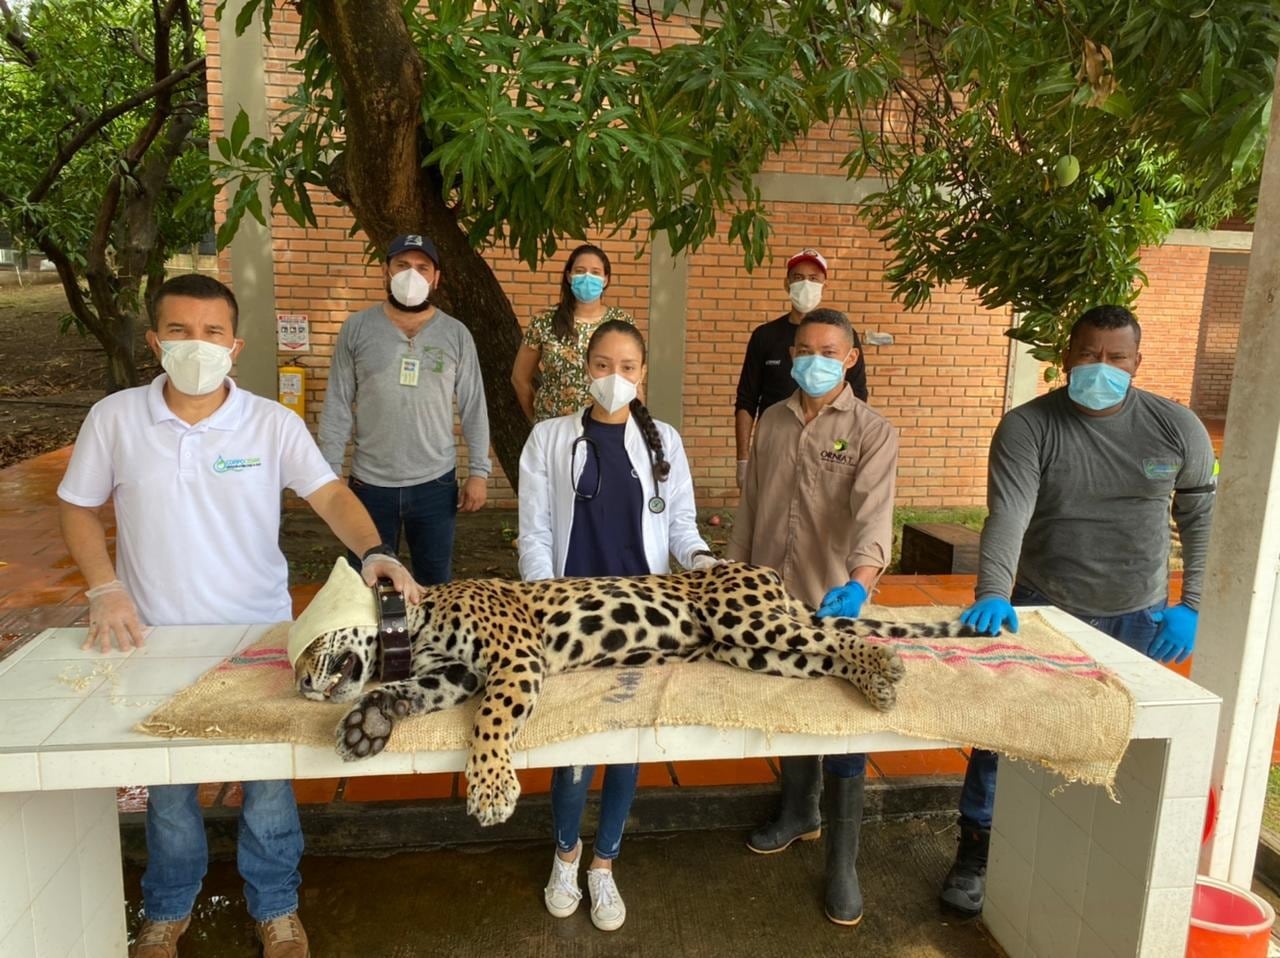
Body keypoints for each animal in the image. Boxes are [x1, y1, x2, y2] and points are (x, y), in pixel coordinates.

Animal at [292, 561, 978, 826]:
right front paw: (365, 725)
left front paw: (489, 790)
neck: (409, 627)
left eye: (308, 644)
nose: (299, 681)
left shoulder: (512, 661)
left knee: (833, 635)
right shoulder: (454, 674)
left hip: (744, 618)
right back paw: (875, 678)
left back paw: (883, 665)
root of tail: (766, 574)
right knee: (823, 651)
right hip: (755, 651)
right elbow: (407, 694)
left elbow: (489, 722)